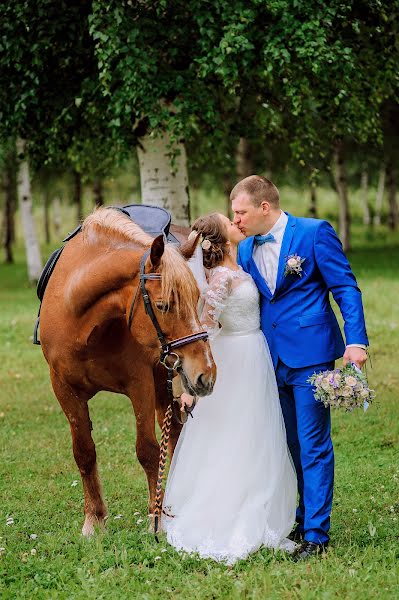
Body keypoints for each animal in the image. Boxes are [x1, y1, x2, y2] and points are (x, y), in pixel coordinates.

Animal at [39, 206, 217, 536]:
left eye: (197, 299)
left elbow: (147, 450)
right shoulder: (64, 389)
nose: (206, 373)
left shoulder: (140, 384)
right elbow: (84, 451)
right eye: (164, 305)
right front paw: (94, 520)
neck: (83, 324)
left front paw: (155, 519)